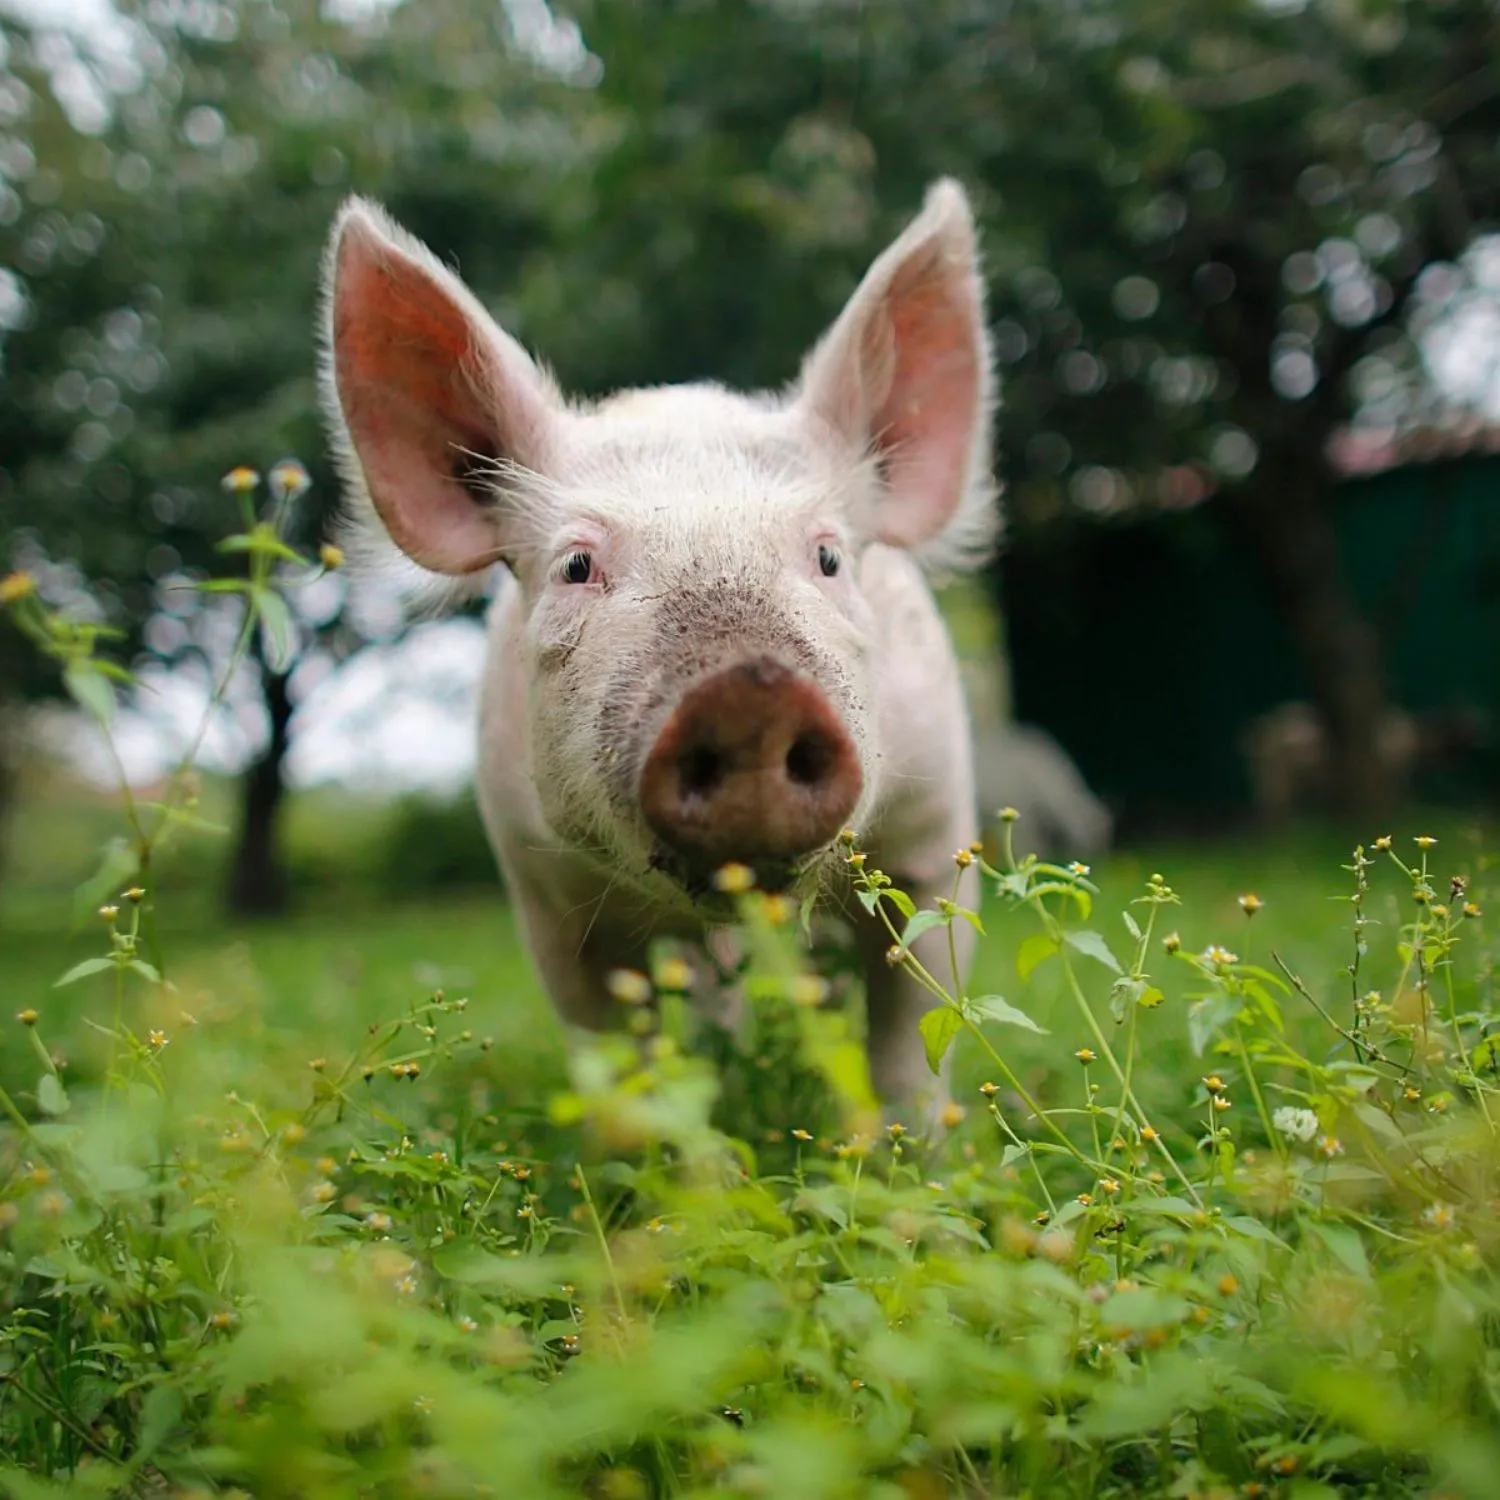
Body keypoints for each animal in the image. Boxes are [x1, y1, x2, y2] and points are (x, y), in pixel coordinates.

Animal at [319, 180, 997, 1115]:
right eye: (576, 565)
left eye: (827, 556)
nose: (750, 691)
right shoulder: (547, 897)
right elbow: (616, 1055)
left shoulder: (933, 833)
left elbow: (911, 1032)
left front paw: (909, 1149)